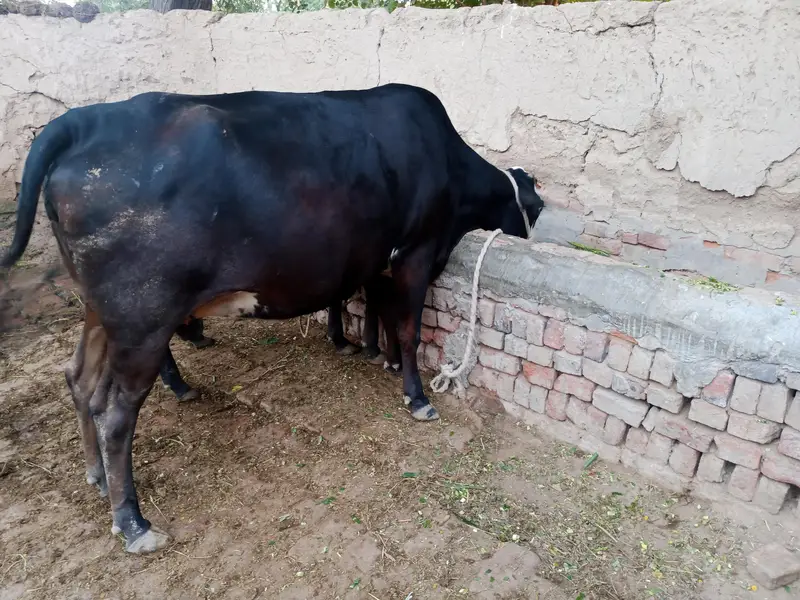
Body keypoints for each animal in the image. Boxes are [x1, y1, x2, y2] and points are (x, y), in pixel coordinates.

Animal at [1, 83, 543, 553]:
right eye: (534, 207)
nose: (534, 232)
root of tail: (83, 120)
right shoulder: (416, 252)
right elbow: (408, 328)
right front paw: (417, 395)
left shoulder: (376, 257)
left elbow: (381, 311)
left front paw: (378, 356)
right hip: (142, 320)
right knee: (114, 414)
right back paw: (133, 522)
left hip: (101, 310)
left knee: (79, 380)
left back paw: (95, 476)